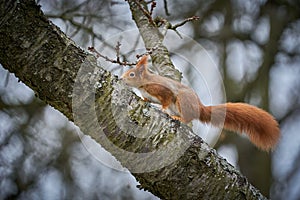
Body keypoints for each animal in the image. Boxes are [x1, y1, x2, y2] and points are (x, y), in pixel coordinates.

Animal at [120, 55, 280, 151]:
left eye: (132, 74)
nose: (121, 79)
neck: (144, 84)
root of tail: (200, 108)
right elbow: (146, 98)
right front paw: (144, 99)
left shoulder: (162, 90)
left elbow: (166, 99)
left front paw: (163, 108)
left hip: (182, 100)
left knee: (188, 118)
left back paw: (178, 117)